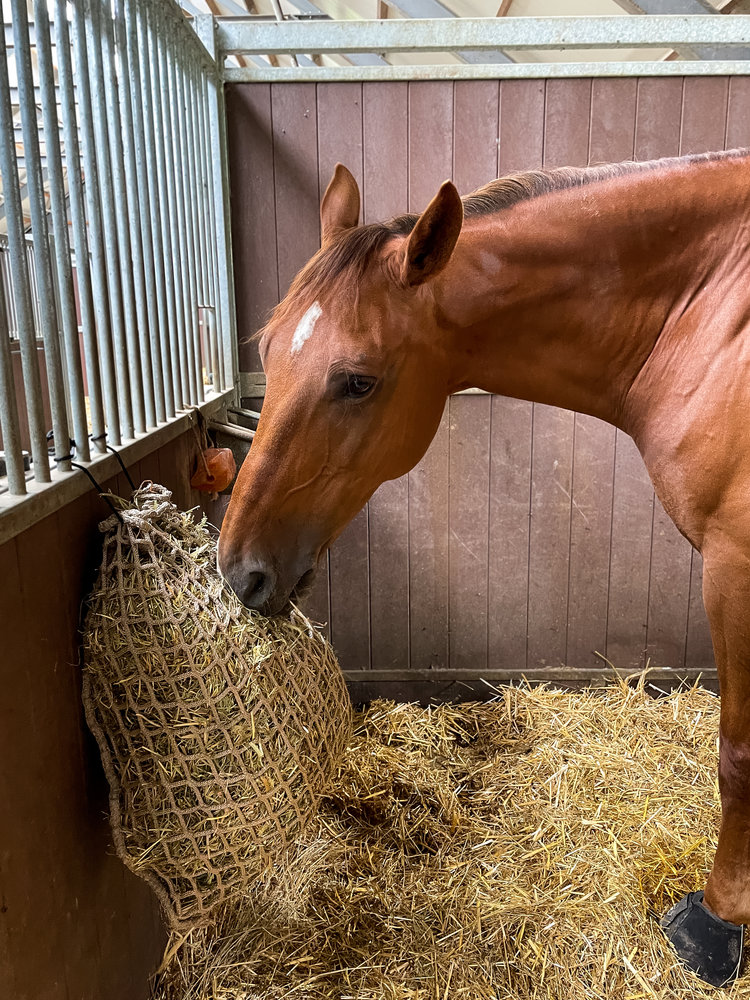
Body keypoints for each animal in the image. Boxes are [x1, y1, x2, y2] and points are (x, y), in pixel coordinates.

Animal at [218, 150, 750, 986]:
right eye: (269, 350)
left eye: (358, 380)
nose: (241, 571)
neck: (711, 319)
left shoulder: (735, 560)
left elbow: (738, 757)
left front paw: (718, 924)